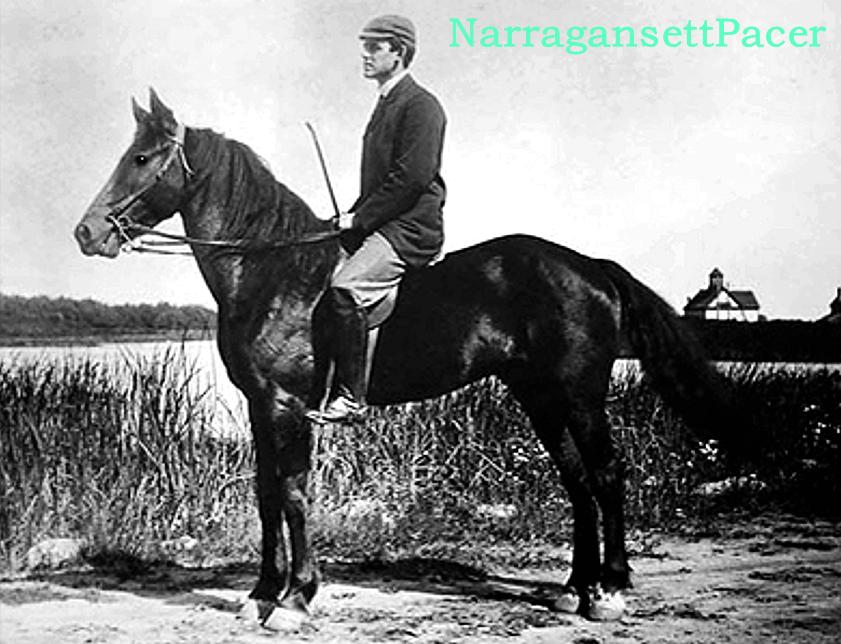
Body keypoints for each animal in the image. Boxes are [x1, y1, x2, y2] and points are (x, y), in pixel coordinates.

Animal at [74, 89, 739, 625]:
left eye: (140, 159)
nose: (86, 233)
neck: (273, 269)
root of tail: (589, 265)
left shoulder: (287, 407)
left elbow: (293, 495)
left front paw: (295, 598)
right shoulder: (260, 407)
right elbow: (266, 497)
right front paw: (262, 593)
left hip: (579, 394)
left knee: (605, 474)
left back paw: (612, 591)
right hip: (540, 395)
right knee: (576, 479)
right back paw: (576, 586)